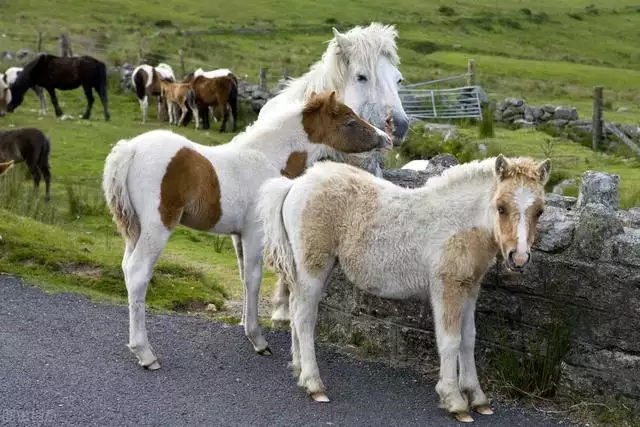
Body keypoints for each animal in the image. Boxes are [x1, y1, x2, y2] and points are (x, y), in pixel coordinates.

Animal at [102, 91, 392, 372]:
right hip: (157, 228)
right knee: (138, 273)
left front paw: (244, 325)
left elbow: (243, 277)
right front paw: (258, 339)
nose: (387, 138)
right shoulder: (255, 233)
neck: (266, 159)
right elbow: (254, 278)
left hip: (135, 230)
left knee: (127, 268)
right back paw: (145, 353)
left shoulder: (237, 235)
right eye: (350, 122)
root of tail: (130, 149)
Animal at [258, 154, 552, 422]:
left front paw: (477, 397)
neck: (459, 223)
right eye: (501, 207)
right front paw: (454, 400)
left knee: (295, 310)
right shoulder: (446, 287)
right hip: (314, 267)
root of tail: (296, 184)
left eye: (539, 210)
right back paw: (313, 383)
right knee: (304, 318)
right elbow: (450, 341)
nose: (519, 258)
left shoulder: (469, 288)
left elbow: (469, 339)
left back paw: (298, 369)